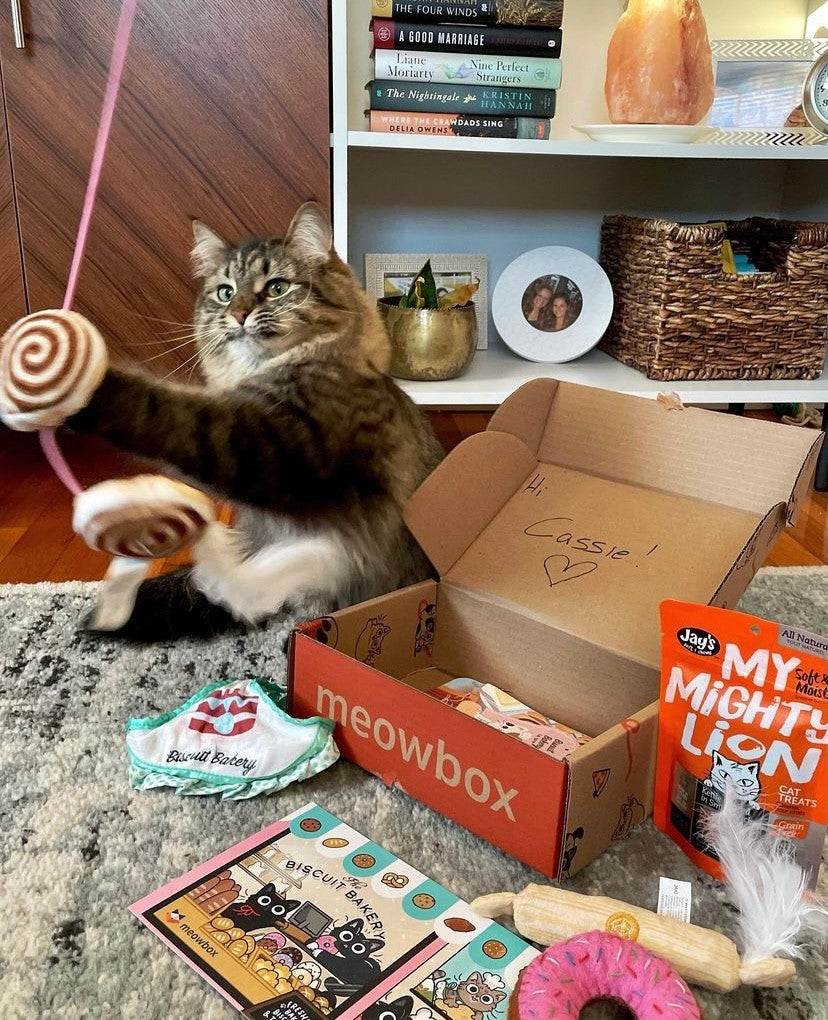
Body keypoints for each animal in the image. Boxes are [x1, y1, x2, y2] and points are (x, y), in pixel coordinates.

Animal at [69, 200, 446, 636]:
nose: (238, 314)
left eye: (277, 288)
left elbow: (168, 411)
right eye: (225, 292)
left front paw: (87, 380)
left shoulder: (275, 446)